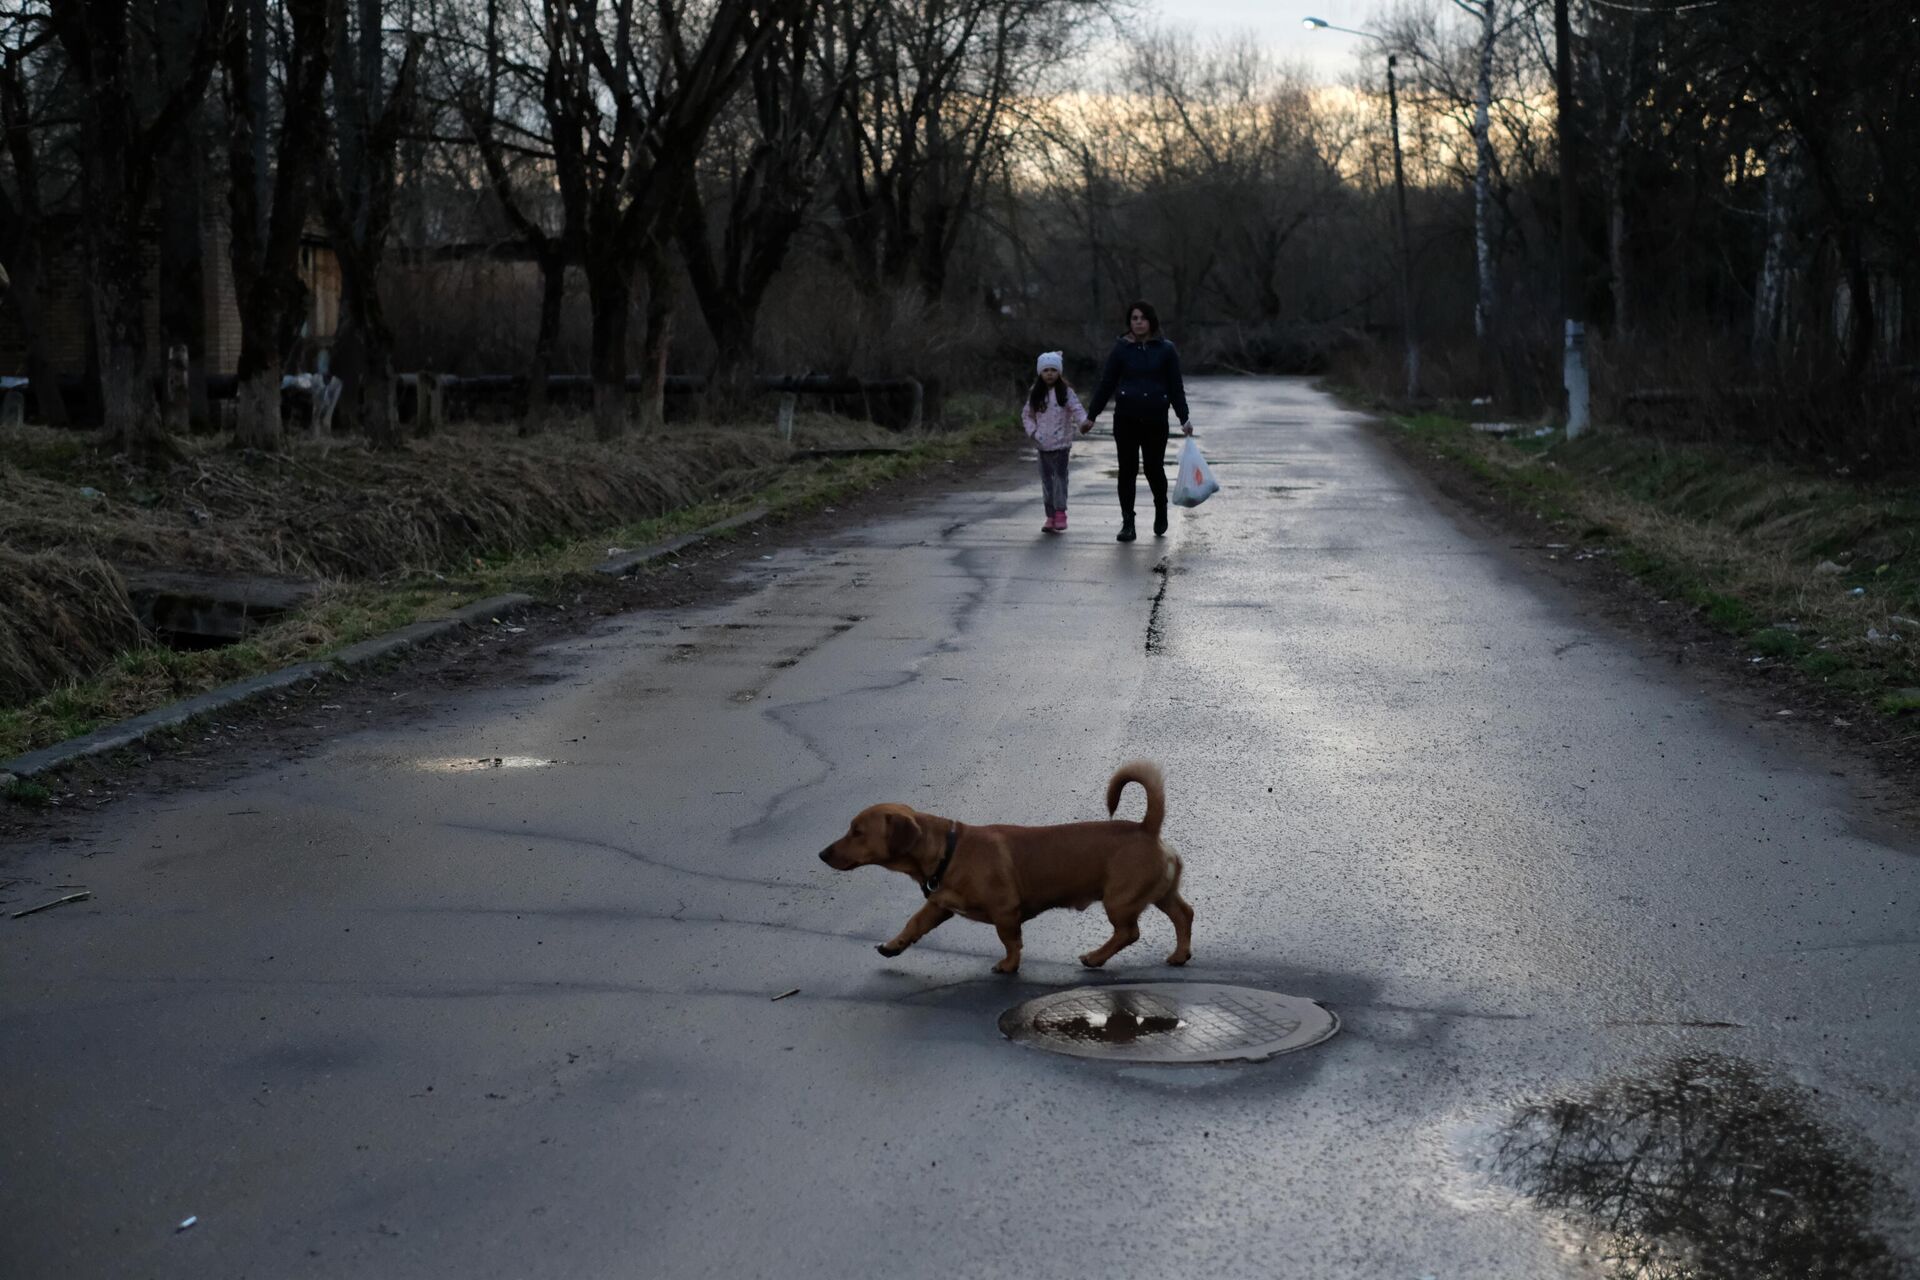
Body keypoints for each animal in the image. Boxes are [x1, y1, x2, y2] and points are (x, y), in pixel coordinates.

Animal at [817, 759, 1190, 971]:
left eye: (857, 832)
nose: (821, 854)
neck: (950, 849)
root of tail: (1146, 828)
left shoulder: (1005, 910)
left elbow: (1010, 941)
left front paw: (1009, 966)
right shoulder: (938, 906)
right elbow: (913, 924)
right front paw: (893, 946)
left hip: (1119, 900)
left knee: (1129, 932)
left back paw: (1095, 957)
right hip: (1160, 894)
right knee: (1183, 915)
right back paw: (1180, 955)